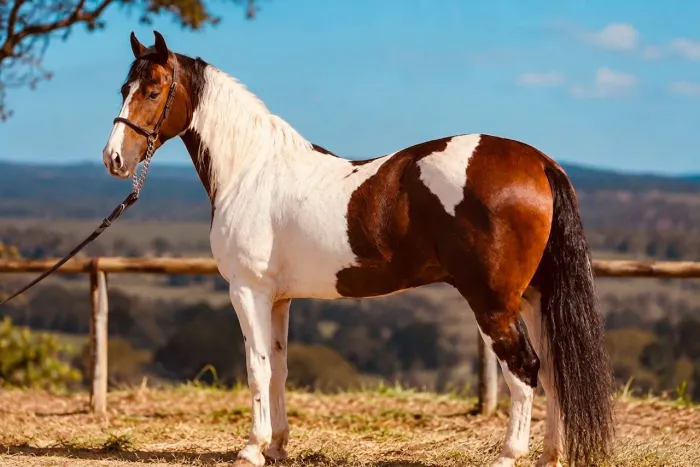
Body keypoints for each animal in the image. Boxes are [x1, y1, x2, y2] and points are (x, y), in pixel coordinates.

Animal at [101, 31, 615, 467]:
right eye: (123, 87)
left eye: (153, 91)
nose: (114, 159)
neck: (251, 170)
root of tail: (540, 162)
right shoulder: (279, 298)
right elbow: (279, 368)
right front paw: (278, 446)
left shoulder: (248, 291)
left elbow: (256, 367)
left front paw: (251, 449)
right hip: (534, 298)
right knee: (553, 373)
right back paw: (550, 456)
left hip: (493, 302)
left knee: (525, 370)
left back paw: (509, 454)